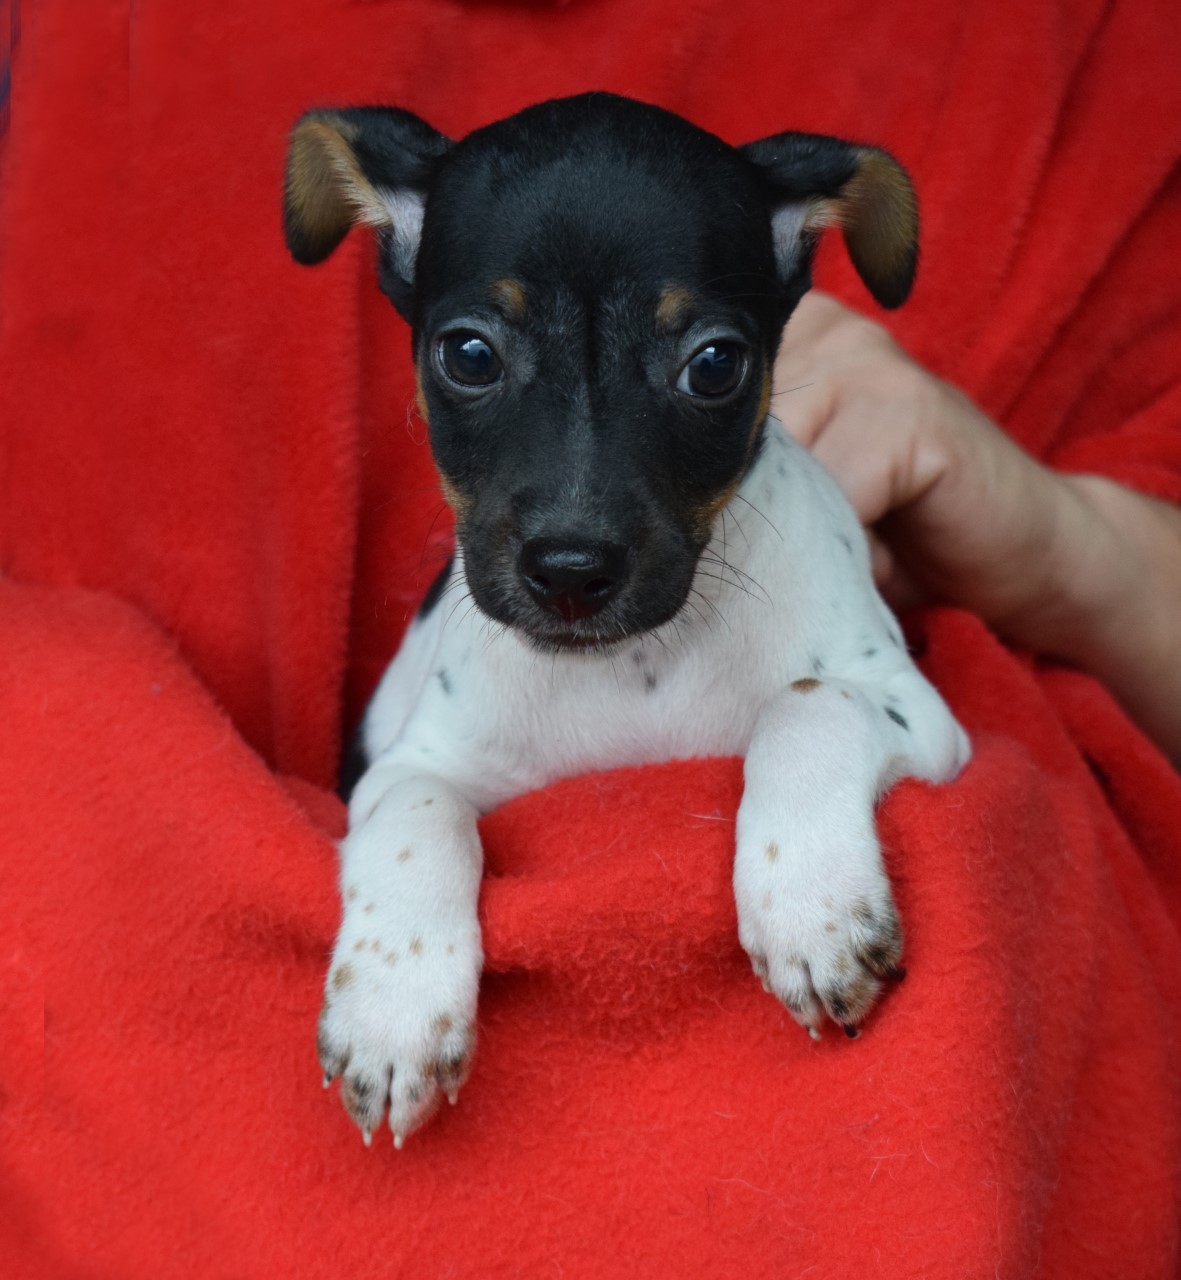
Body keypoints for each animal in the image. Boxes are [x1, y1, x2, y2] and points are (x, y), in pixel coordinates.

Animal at [286, 92, 967, 1152]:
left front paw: (810, 902)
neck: (628, 671)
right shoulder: (410, 764)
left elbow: (807, 702)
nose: (571, 572)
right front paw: (393, 1005)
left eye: (715, 365)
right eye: (467, 354)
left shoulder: (915, 708)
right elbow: (417, 815)